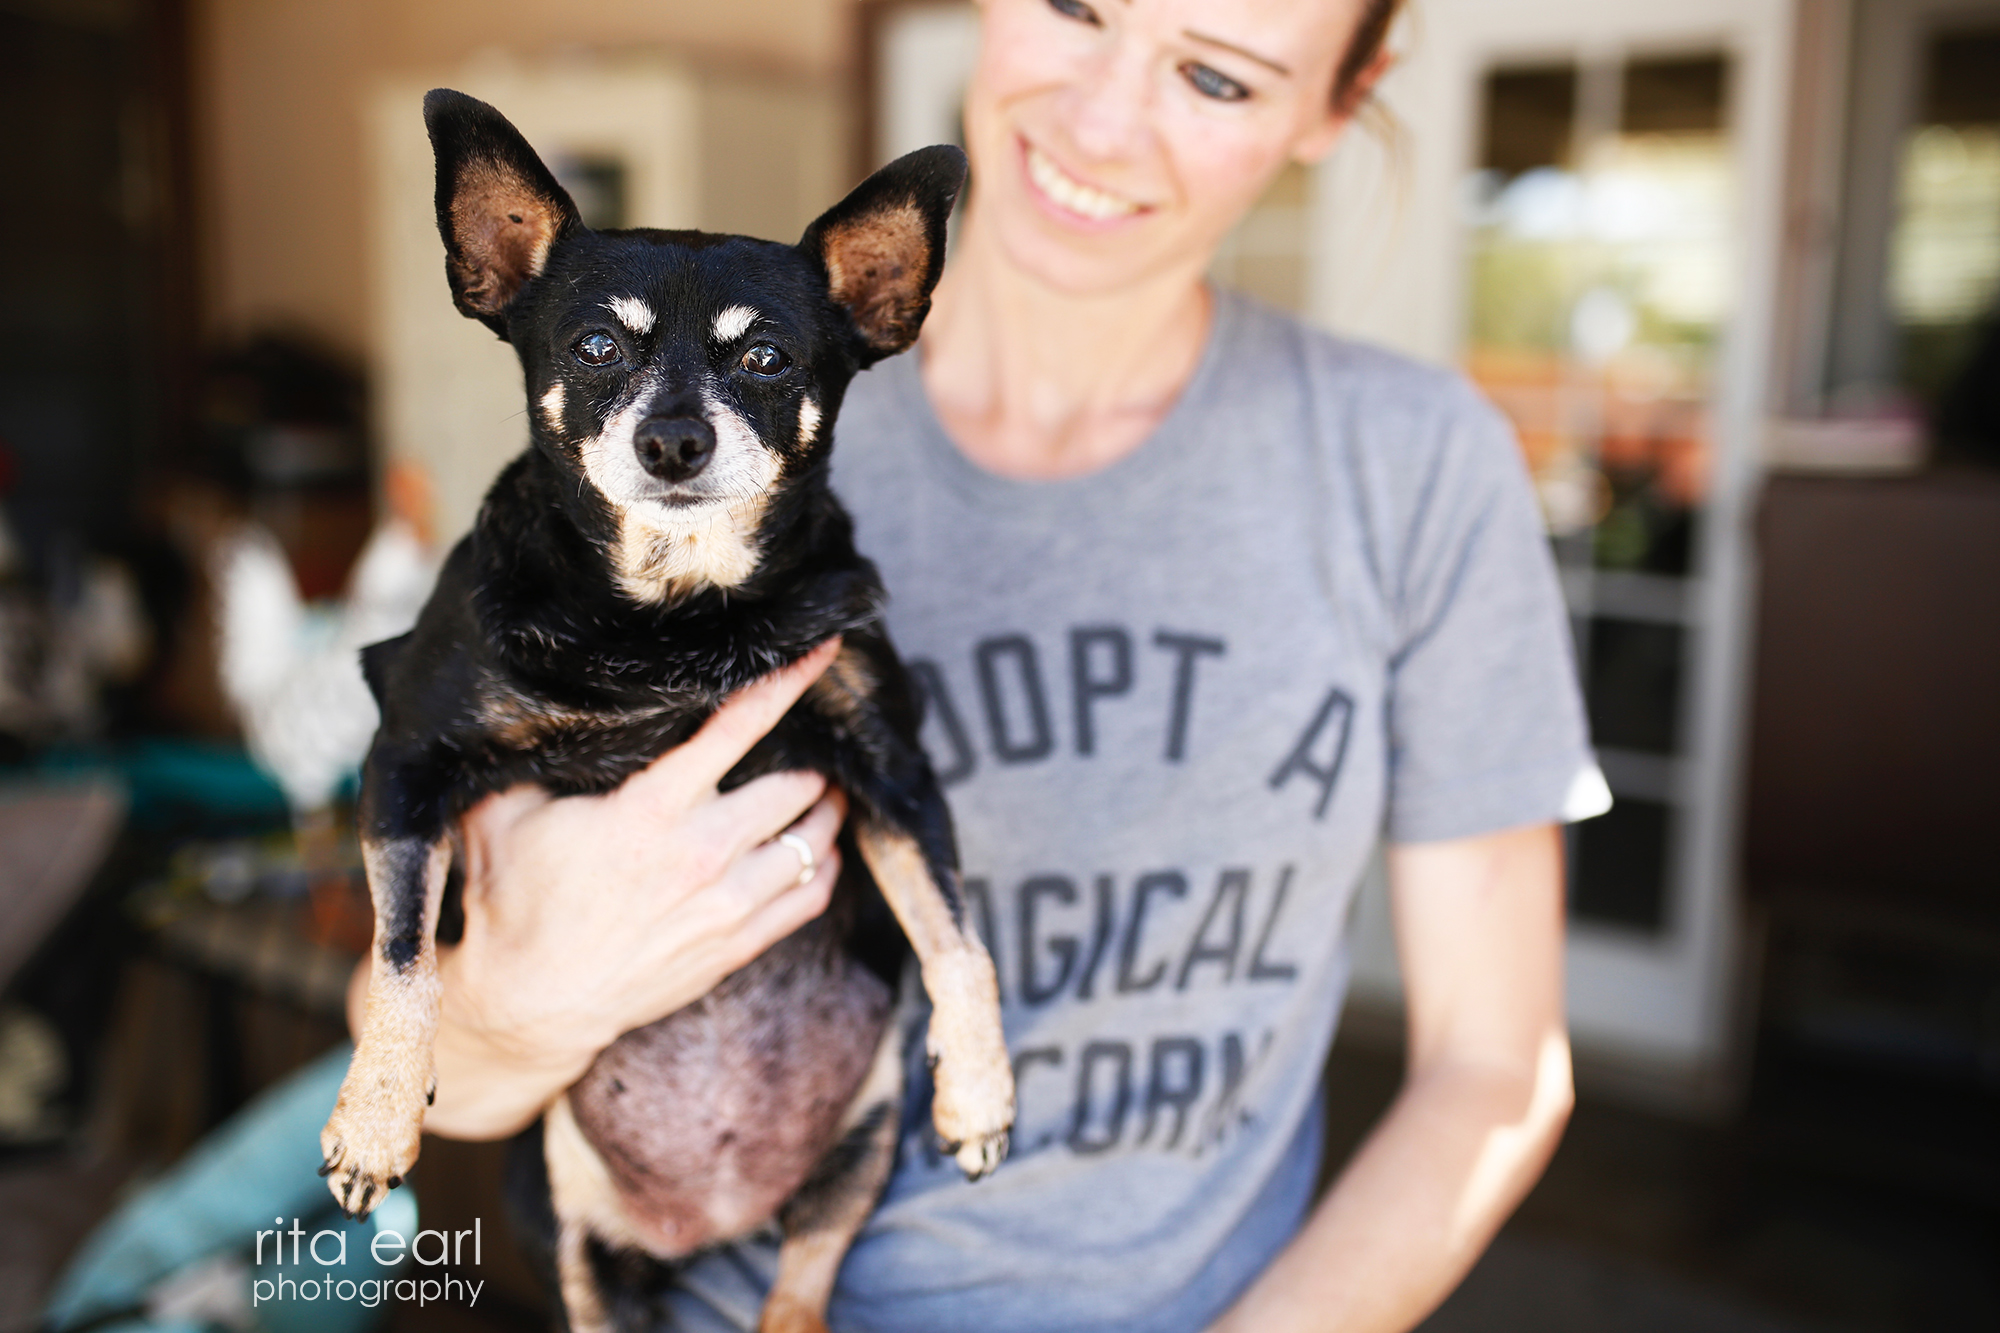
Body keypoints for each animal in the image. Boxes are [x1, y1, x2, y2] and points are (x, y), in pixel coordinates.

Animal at [330, 88, 1024, 1320]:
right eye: (596, 347)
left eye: (765, 358)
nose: (672, 439)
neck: (671, 619)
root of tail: (714, 1219)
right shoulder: (409, 759)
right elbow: (403, 958)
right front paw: (372, 1119)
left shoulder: (889, 765)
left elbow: (956, 937)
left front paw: (980, 1091)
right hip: (570, 1231)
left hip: (847, 1171)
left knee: (796, 1290)